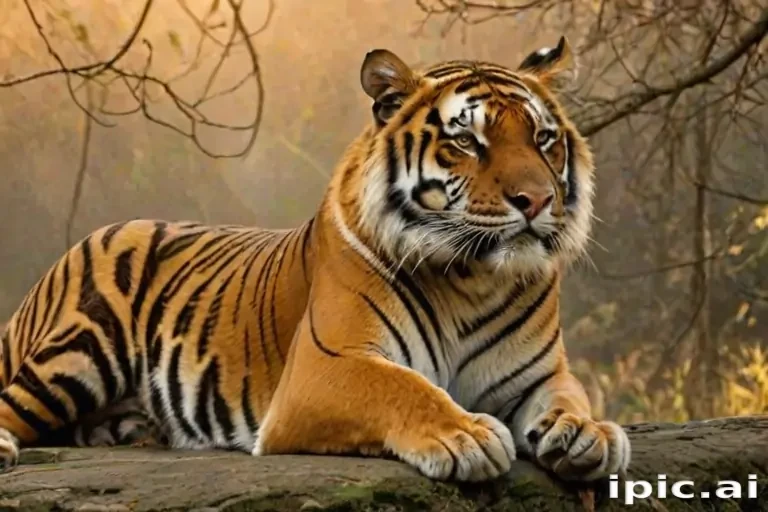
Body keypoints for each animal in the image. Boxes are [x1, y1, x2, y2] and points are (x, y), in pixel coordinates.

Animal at [0, 37, 630, 482]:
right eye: (466, 141)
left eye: (544, 139)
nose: (537, 200)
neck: (474, 279)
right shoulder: (327, 367)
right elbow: (405, 387)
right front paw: (467, 436)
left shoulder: (539, 374)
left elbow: (569, 397)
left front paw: (587, 432)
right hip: (80, 348)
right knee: (11, 405)